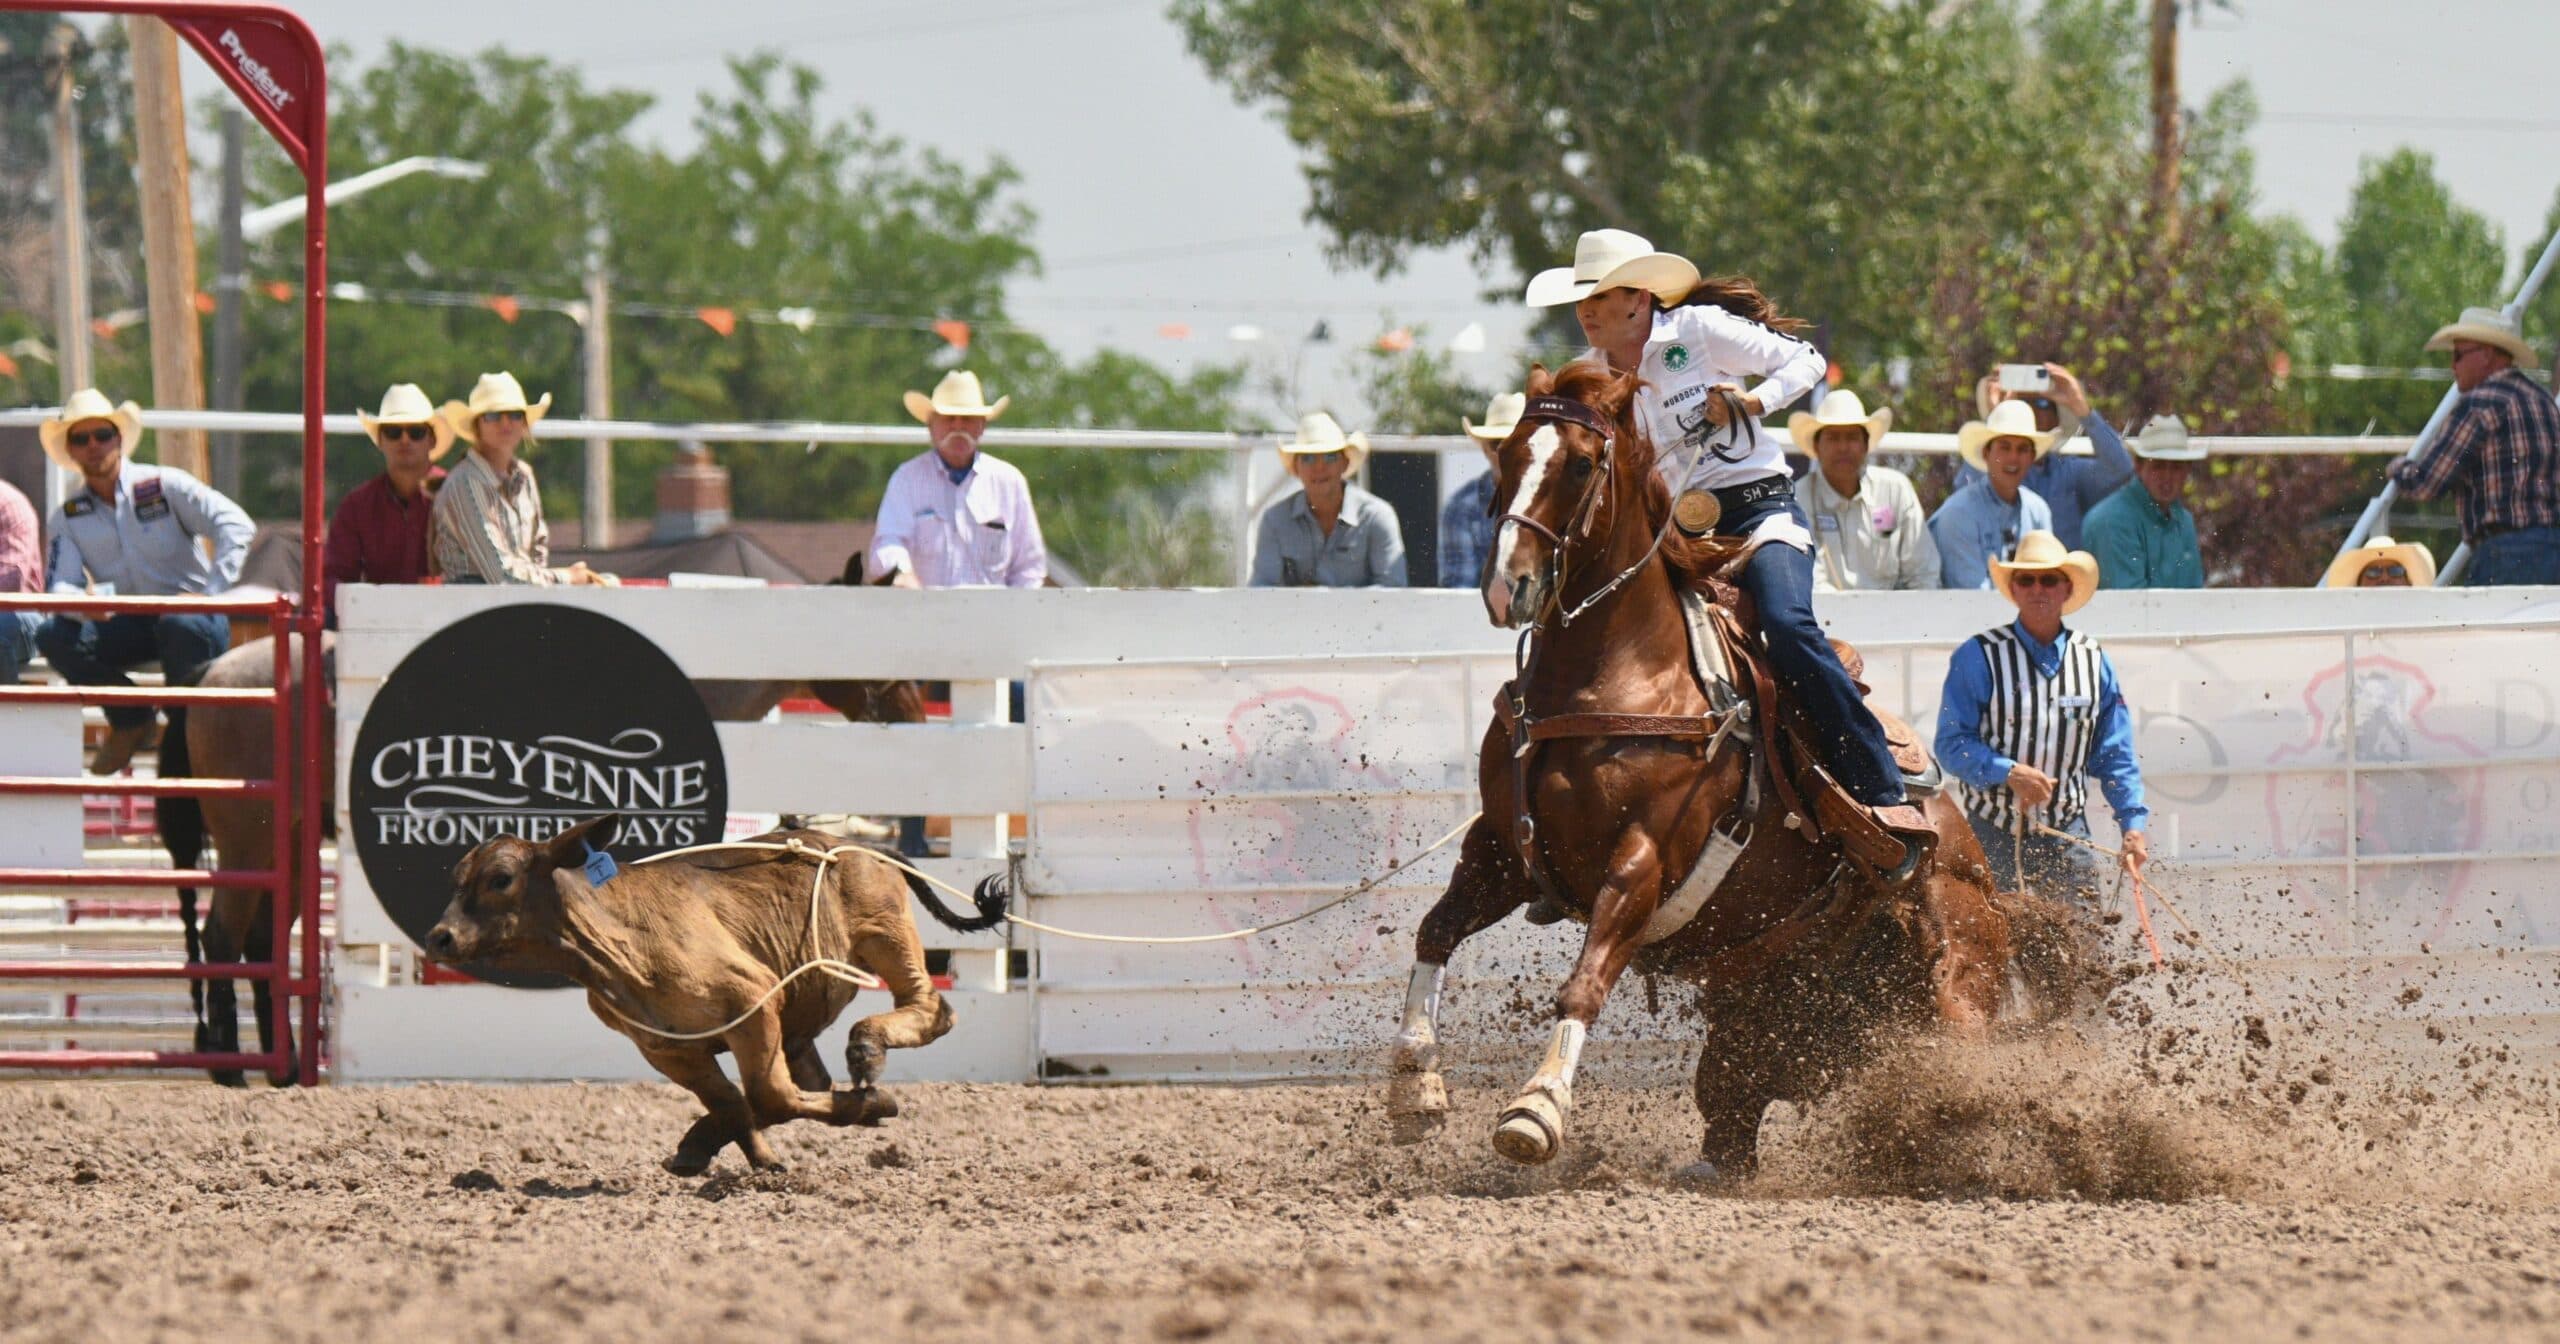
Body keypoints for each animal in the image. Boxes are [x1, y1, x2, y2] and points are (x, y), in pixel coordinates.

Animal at [425, 815, 1008, 1175]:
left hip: (886, 935)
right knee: (806, 1083)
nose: (440, 937)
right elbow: (735, 1101)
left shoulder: (753, 1003)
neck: (616, 940)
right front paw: (718, 1150)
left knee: (931, 1008)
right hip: (802, 1022)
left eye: (501, 878)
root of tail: (870, 846)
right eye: (457, 877)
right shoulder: (666, 1048)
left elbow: (768, 1096)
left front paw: (876, 1104)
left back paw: (867, 1050)